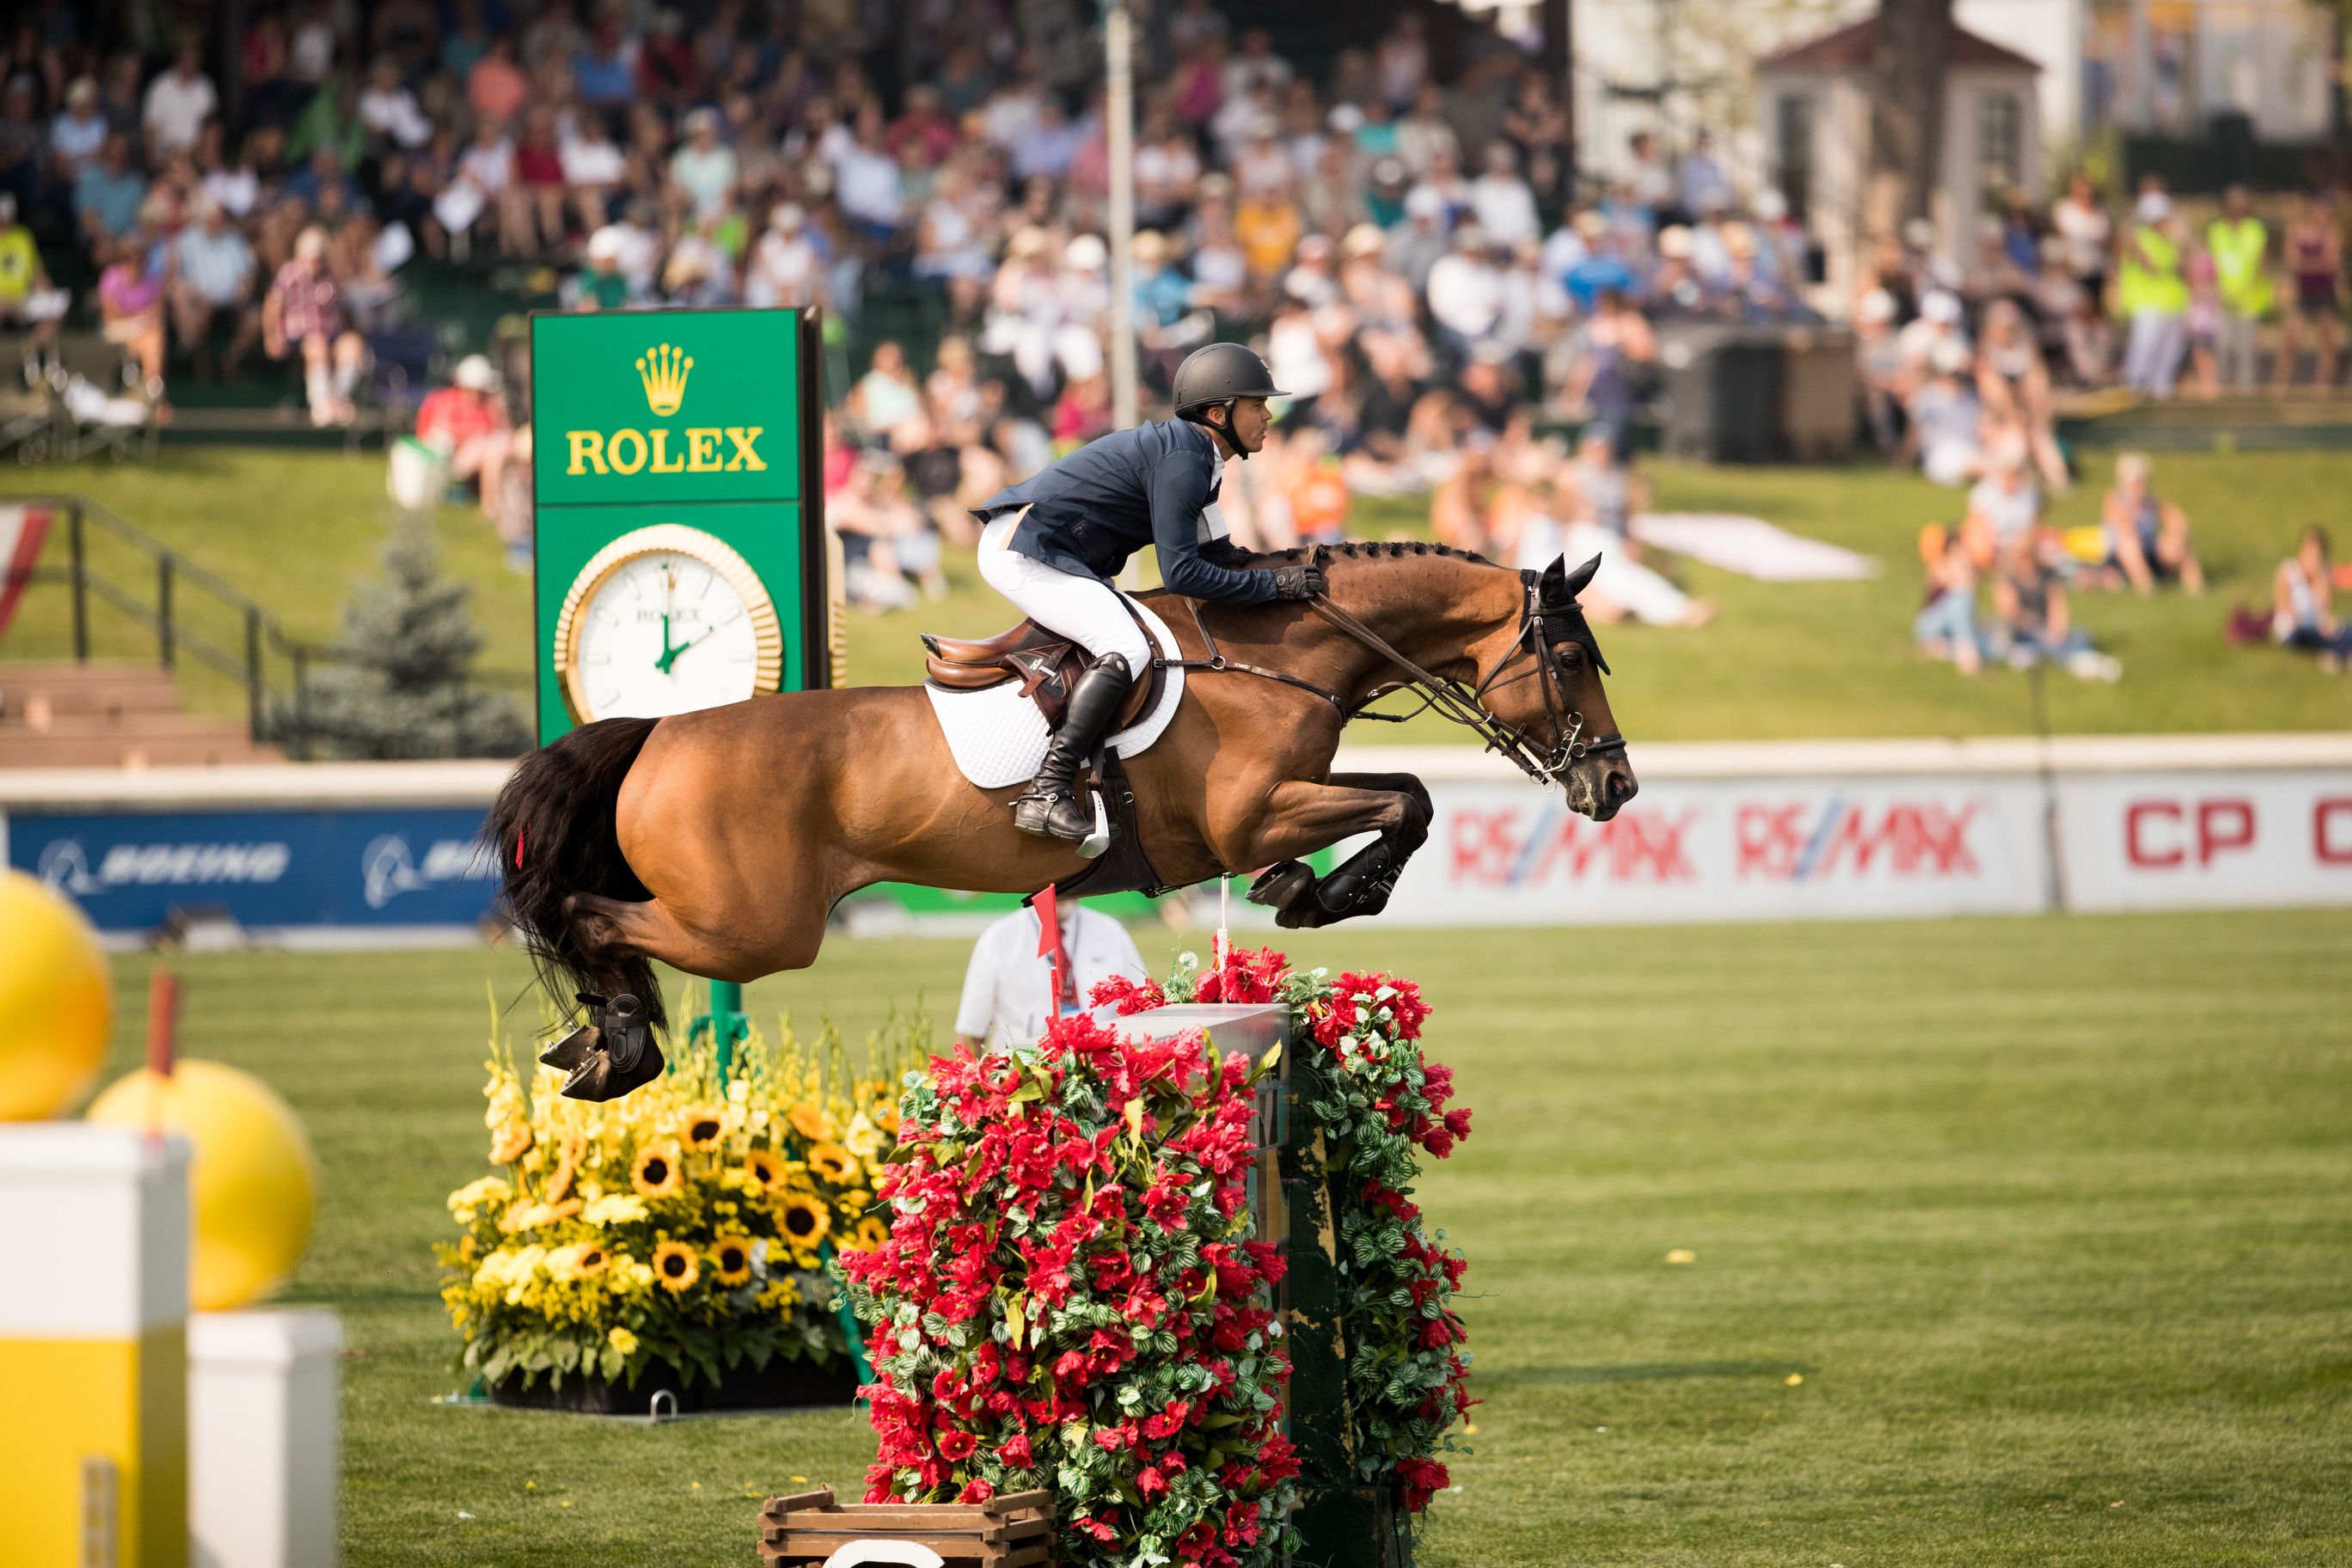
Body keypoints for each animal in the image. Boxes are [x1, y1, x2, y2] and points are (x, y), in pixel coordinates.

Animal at [487, 545, 1637, 1034]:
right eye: (1571, 657)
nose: (1617, 786)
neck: (1279, 654)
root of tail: (658, 728)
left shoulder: (1289, 794)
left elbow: (1405, 792)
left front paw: (1303, 888)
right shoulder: (1249, 813)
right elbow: (1406, 802)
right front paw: (1330, 892)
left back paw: (603, 1044)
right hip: (753, 928)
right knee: (589, 913)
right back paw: (617, 1038)